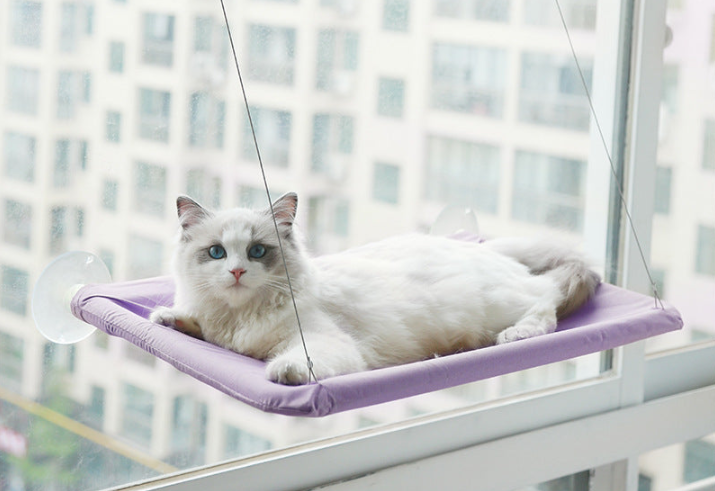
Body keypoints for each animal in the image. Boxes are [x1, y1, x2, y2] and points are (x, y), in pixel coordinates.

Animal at [152, 194, 604, 386]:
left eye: (257, 251)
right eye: (216, 252)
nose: (236, 272)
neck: (238, 317)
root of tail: (483, 249)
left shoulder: (323, 342)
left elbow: (298, 360)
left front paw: (284, 371)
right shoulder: (218, 329)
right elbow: (194, 323)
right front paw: (167, 318)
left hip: (501, 302)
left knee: (546, 301)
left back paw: (516, 334)